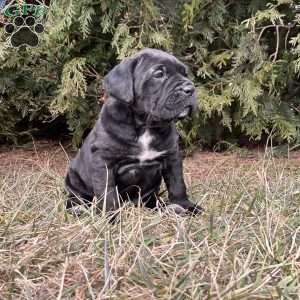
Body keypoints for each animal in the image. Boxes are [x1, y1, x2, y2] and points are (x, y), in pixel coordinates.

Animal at [64, 48, 203, 214]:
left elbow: (177, 183)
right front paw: (111, 216)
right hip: (74, 178)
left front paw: (185, 206)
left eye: (185, 74)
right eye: (158, 74)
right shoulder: (104, 162)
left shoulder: (172, 156)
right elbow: (108, 193)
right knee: (76, 197)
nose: (190, 89)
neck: (146, 125)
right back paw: (77, 209)